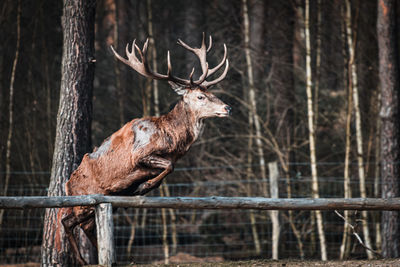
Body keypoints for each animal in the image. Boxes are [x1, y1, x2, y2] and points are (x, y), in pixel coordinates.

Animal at [57, 34, 230, 267]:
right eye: (200, 97)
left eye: (210, 92)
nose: (227, 108)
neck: (172, 139)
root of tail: (67, 185)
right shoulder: (139, 154)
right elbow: (169, 166)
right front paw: (143, 186)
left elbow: (167, 169)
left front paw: (141, 187)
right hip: (84, 200)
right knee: (67, 221)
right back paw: (83, 260)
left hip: (101, 202)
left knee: (87, 226)